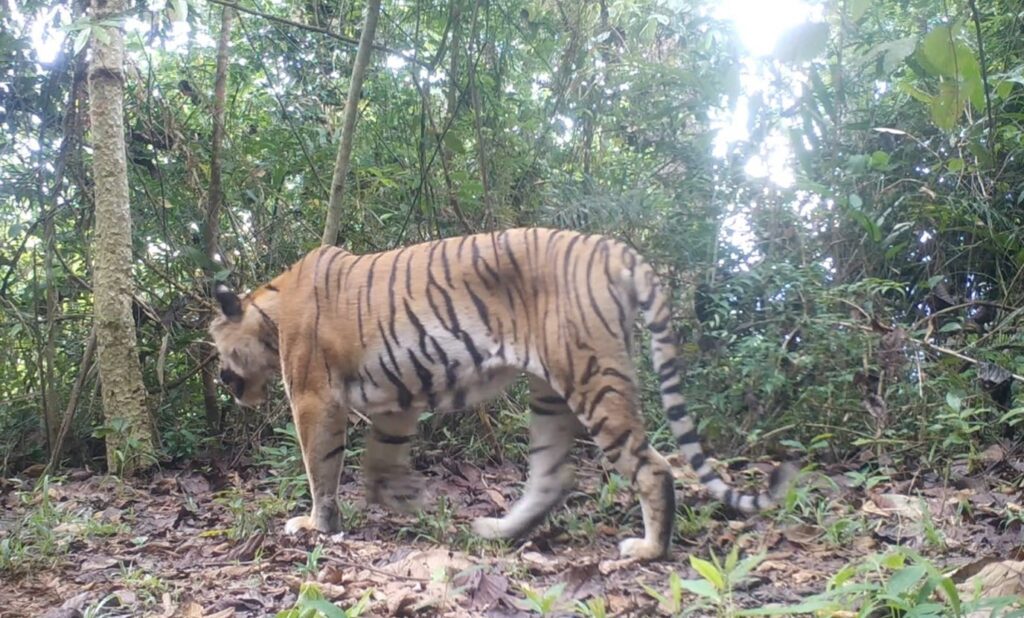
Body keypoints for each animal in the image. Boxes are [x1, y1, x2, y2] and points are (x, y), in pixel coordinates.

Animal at [209, 228, 795, 561]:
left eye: (217, 347)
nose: (219, 377)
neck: (270, 308)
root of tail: (615, 249)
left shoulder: (313, 399)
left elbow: (321, 468)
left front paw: (316, 524)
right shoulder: (397, 400)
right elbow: (381, 460)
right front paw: (401, 499)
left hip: (592, 376)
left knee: (652, 466)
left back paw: (648, 550)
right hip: (549, 392)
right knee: (553, 475)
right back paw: (498, 530)